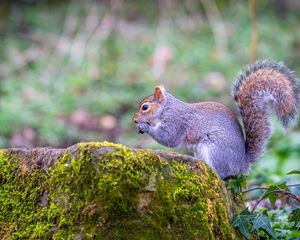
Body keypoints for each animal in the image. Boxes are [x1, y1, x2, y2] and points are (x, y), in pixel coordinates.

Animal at [133, 59, 300, 180]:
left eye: (145, 107)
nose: (134, 120)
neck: (166, 109)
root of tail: (243, 164)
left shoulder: (177, 121)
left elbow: (168, 138)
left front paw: (144, 126)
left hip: (216, 149)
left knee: (223, 175)